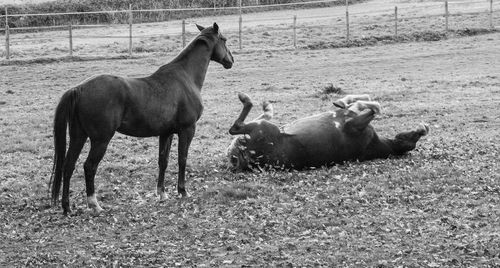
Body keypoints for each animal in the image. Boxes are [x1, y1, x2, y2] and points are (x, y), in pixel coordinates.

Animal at [49, 23, 233, 216]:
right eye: (224, 39)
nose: (231, 60)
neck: (185, 77)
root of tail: (79, 88)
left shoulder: (166, 133)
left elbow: (163, 161)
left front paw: (162, 194)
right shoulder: (187, 130)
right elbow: (182, 159)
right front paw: (182, 191)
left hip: (79, 136)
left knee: (68, 166)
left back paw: (67, 207)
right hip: (100, 140)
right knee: (89, 167)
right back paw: (94, 204)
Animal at [229, 93, 428, 171]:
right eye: (411, 137)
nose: (423, 129)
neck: (374, 145)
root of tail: (240, 159)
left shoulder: (353, 124)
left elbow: (372, 107)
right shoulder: (353, 120)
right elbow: (360, 102)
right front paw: (342, 102)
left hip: (261, 127)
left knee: (236, 127)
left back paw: (249, 100)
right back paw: (267, 106)